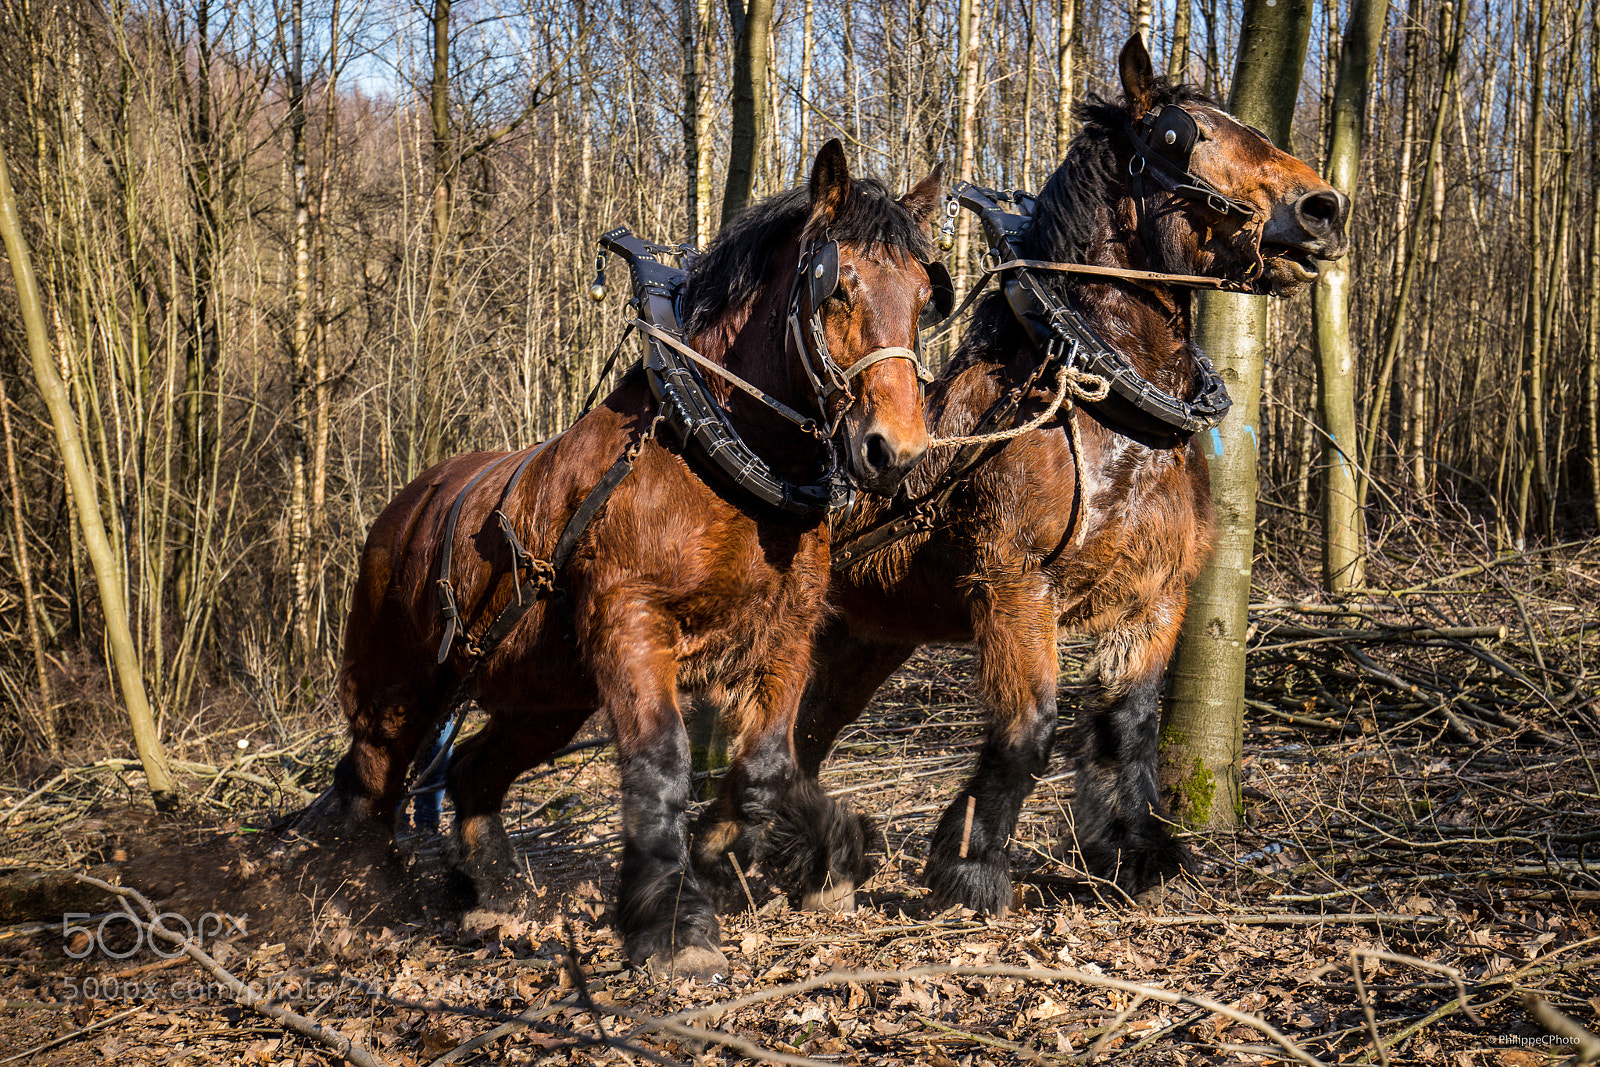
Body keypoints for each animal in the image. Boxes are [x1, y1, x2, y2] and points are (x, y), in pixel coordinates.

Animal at [310, 140, 949, 975]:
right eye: (836, 287)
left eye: (924, 295)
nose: (895, 452)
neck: (717, 453)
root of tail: (399, 509)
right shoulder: (632, 621)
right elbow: (661, 759)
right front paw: (673, 922)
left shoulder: (785, 634)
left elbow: (768, 764)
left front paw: (751, 857)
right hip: (398, 688)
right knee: (373, 780)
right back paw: (359, 895)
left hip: (544, 697)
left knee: (474, 770)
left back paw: (491, 892)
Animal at [782, 38, 1351, 913]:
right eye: (1184, 136)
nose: (1325, 209)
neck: (1109, 406)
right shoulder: (1015, 587)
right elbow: (1030, 728)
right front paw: (971, 865)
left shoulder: (1156, 597)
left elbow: (1128, 723)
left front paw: (1134, 849)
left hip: (867, 636)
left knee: (809, 731)